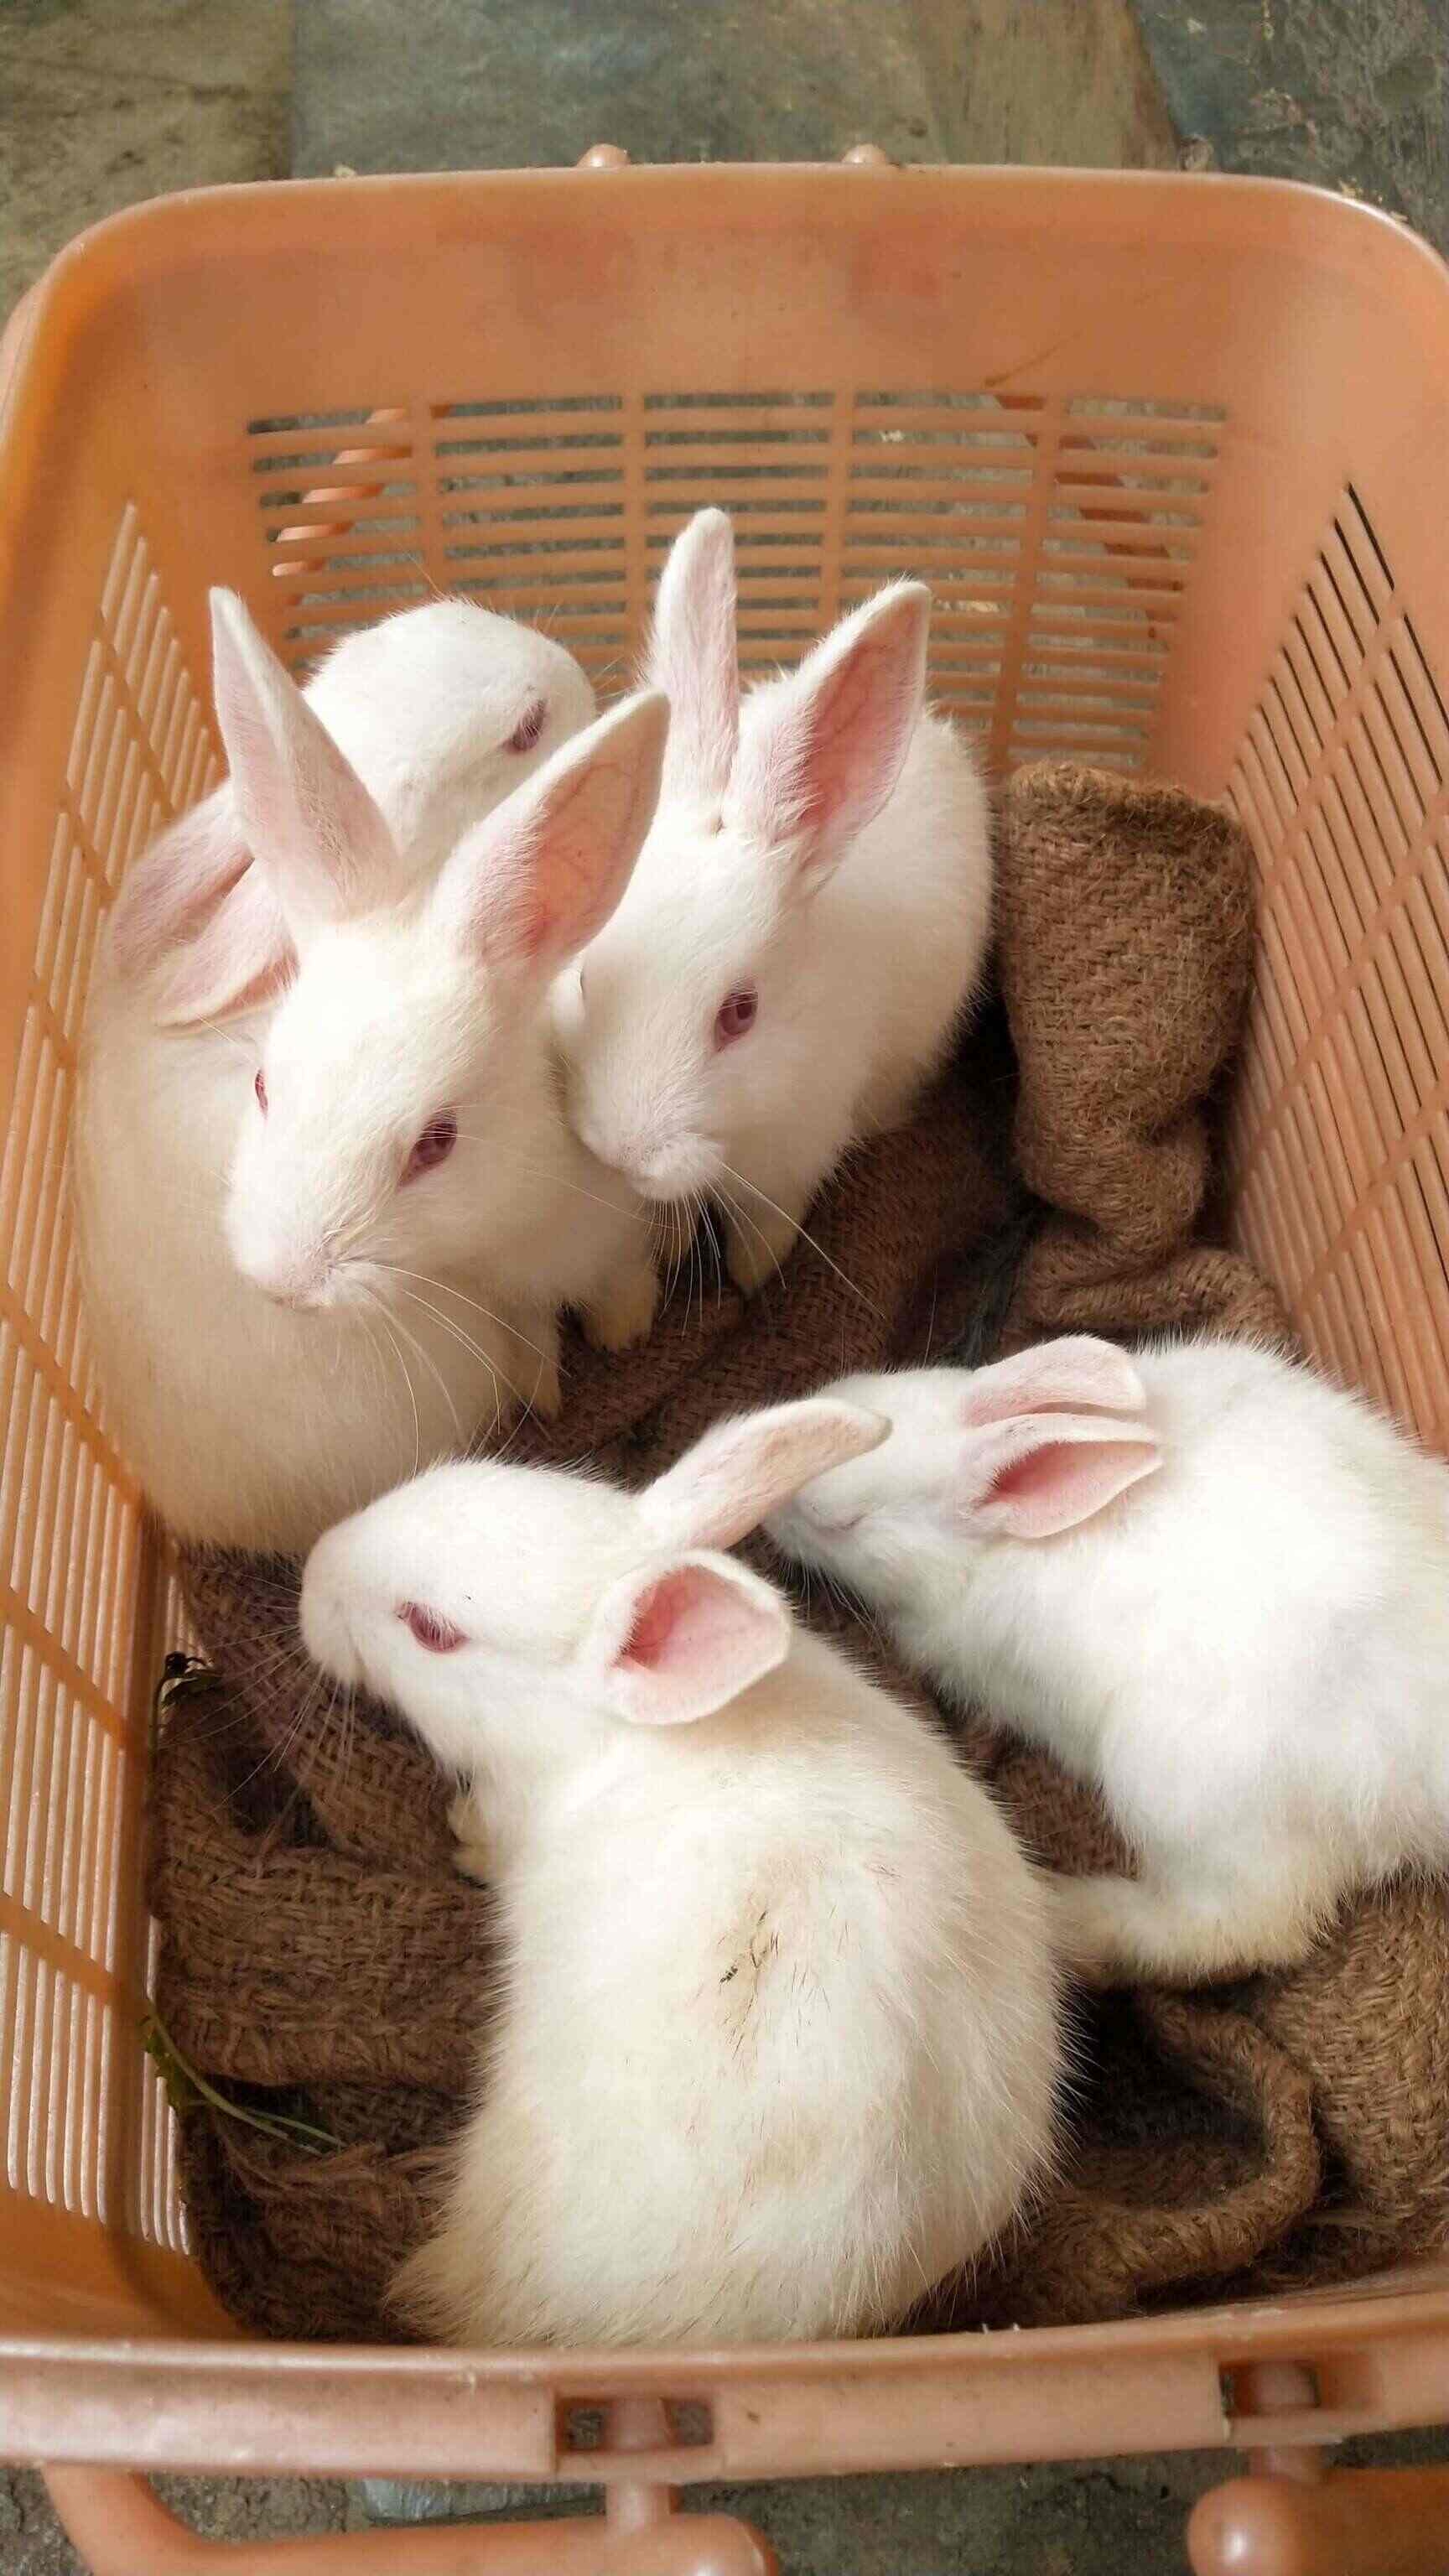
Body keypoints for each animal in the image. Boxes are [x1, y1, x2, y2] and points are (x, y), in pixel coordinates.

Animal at [553, 508, 993, 1293]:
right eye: (584, 979)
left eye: (740, 1015)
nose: (622, 1152)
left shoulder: (797, 1157)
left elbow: (768, 1224)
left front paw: (753, 1276)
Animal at [765, 1333, 1449, 1988]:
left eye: (845, 1523)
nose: (769, 1517)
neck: (989, 1553)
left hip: (1182, 1797)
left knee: (1239, 1933)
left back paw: (1071, 1914)